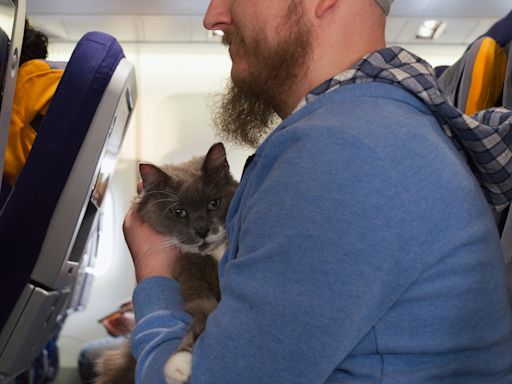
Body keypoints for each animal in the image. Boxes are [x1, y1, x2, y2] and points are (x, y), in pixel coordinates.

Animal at [94, 143, 238, 384]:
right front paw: (178, 366)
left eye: (213, 203)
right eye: (179, 211)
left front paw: (178, 365)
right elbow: (203, 313)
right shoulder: (194, 287)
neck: (214, 255)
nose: (202, 230)